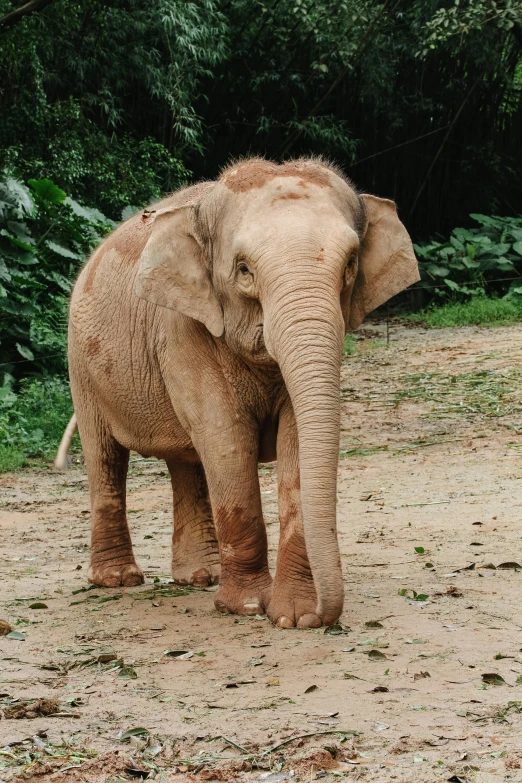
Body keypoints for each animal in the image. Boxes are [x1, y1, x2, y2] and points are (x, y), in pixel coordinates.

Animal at [63, 158, 418, 632]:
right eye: (244, 269)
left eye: (350, 264)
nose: (322, 616)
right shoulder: (182, 326)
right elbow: (226, 439)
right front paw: (248, 607)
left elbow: (295, 441)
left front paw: (291, 615)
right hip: (81, 365)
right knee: (105, 457)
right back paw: (119, 580)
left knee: (186, 462)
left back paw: (201, 577)